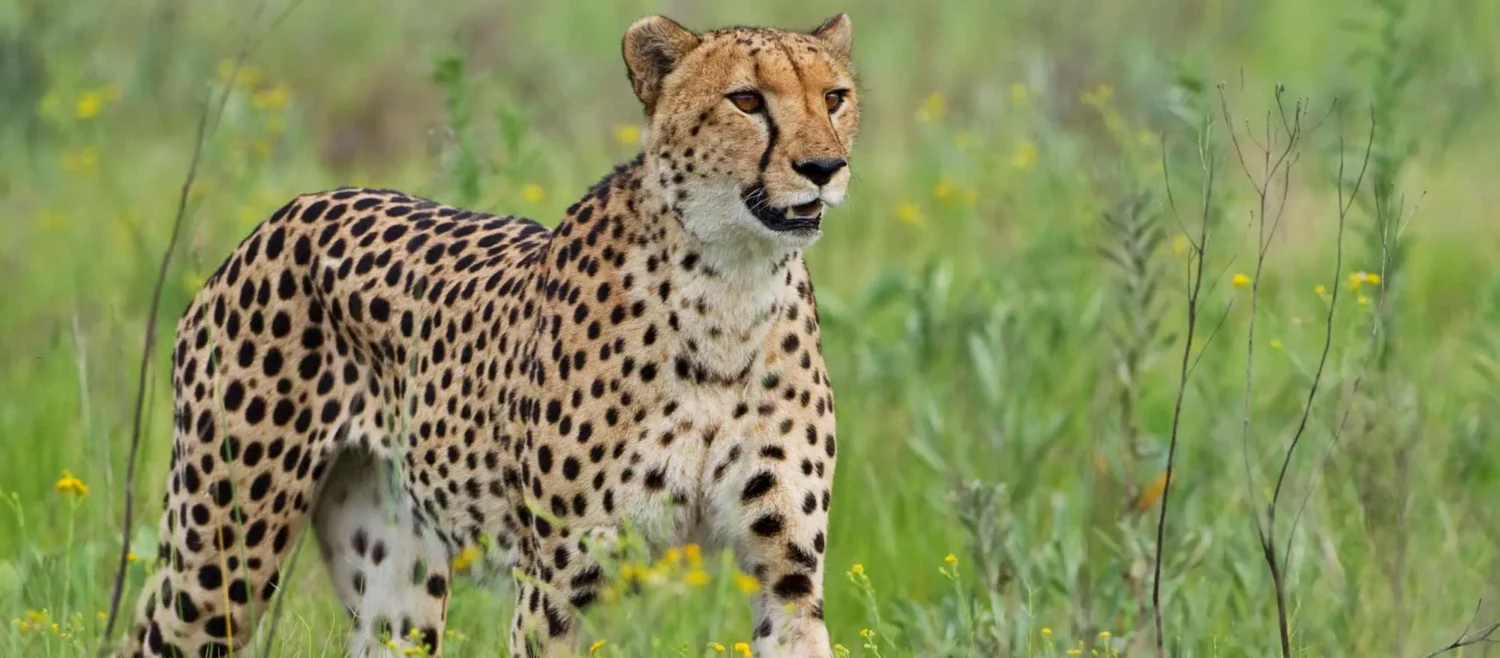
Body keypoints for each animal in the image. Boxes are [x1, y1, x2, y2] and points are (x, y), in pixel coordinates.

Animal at [114, 12, 858, 658]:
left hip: (397, 582)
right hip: (223, 552)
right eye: (746, 100)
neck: (730, 289)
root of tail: (294, 208)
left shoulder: (787, 574)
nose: (825, 168)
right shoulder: (560, 580)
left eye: (835, 97)